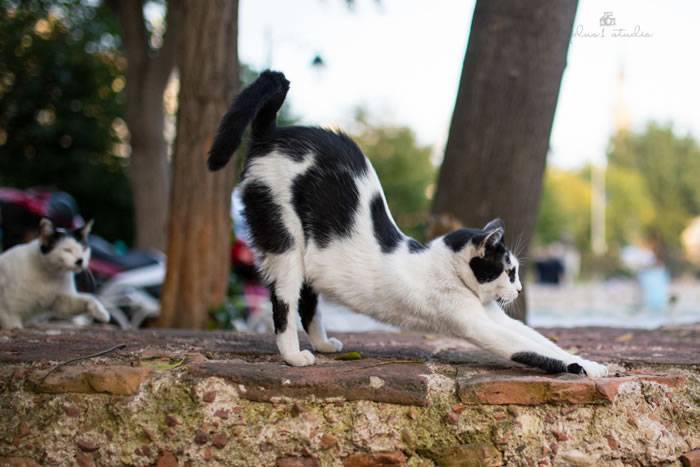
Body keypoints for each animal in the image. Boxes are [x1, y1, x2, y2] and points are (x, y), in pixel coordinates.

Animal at [206, 72, 608, 380]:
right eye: (509, 271)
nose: (521, 289)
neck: (445, 269)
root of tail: (274, 134)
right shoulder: (477, 324)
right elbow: (534, 352)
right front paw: (587, 367)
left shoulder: (498, 318)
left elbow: (543, 341)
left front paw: (591, 360)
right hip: (284, 240)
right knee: (284, 301)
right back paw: (294, 356)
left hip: (310, 256)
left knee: (308, 301)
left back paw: (323, 345)